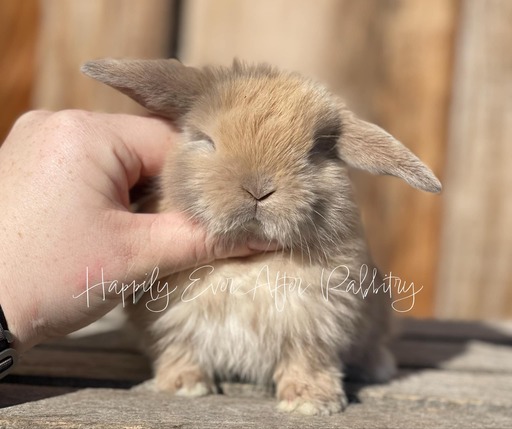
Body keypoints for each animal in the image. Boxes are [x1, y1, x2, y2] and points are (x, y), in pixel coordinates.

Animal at [82, 57, 442, 414]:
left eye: (315, 153)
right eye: (206, 140)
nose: (258, 188)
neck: (248, 265)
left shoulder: (316, 322)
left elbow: (308, 362)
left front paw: (312, 403)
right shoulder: (169, 321)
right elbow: (179, 351)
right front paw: (184, 386)